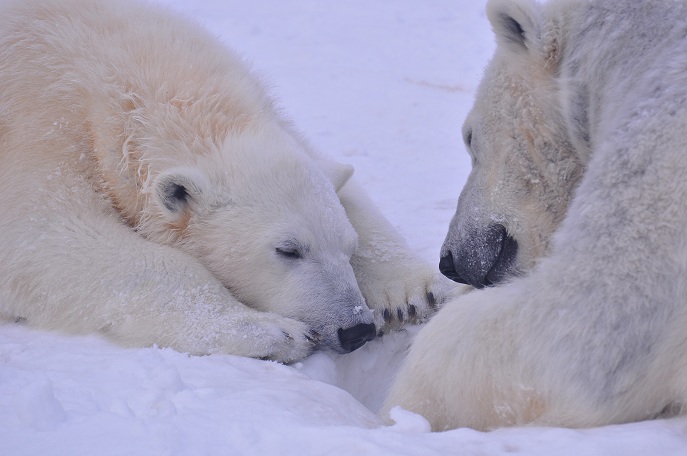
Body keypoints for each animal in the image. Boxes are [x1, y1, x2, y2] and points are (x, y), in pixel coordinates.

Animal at [0, 0, 452, 364]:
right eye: (288, 250)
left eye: (349, 246)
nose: (356, 329)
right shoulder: (39, 133)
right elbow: (47, 238)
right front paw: (277, 333)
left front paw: (414, 294)